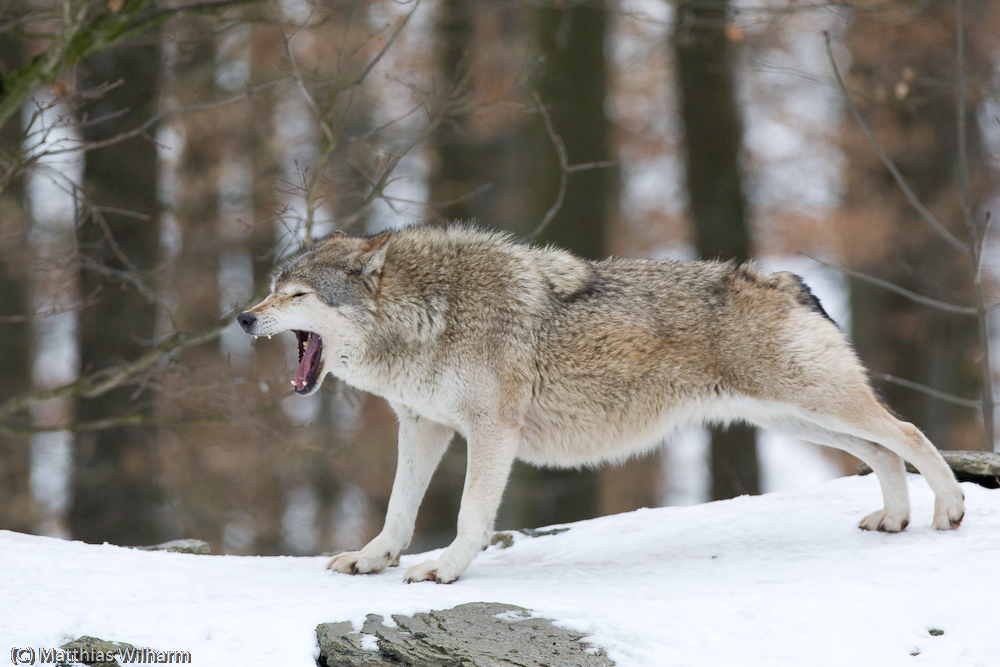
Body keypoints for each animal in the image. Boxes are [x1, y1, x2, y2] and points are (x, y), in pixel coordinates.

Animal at [238, 226, 964, 584]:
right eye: (273, 288)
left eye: (296, 295)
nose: (243, 317)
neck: (430, 314)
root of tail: (783, 277)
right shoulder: (423, 427)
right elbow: (397, 510)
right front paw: (374, 559)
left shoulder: (492, 431)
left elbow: (471, 517)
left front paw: (444, 570)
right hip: (794, 418)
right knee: (882, 451)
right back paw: (894, 518)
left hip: (814, 405)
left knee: (907, 430)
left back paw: (950, 511)